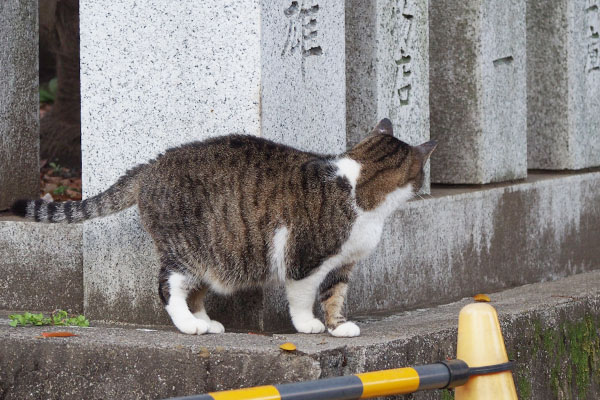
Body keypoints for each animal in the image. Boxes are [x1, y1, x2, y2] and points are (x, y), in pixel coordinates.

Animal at [11, 119, 436, 338]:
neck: (359, 186)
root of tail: (151, 166)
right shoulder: (304, 258)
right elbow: (302, 297)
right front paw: (309, 325)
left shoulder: (343, 264)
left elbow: (335, 295)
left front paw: (338, 326)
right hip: (187, 250)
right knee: (167, 286)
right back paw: (188, 325)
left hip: (215, 254)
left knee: (196, 291)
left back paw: (205, 321)